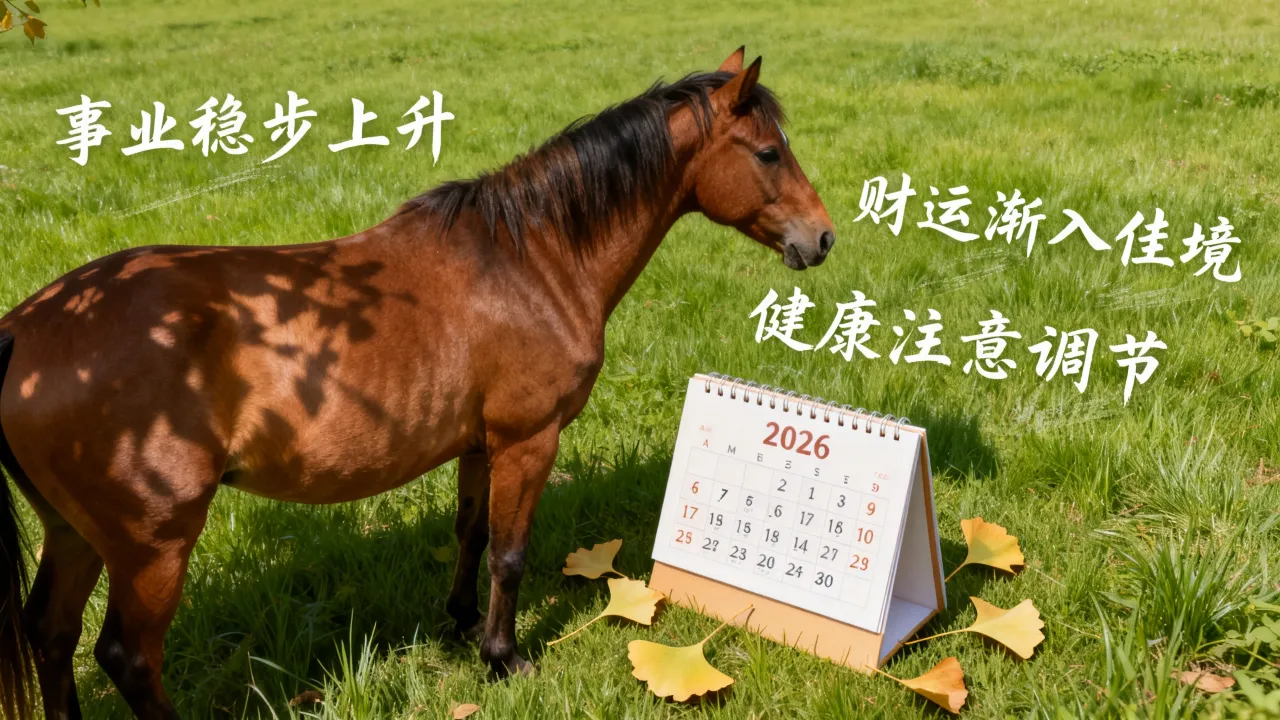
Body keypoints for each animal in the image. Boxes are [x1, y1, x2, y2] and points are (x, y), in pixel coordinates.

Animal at [0, 47, 834, 719]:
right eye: (768, 153)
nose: (822, 237)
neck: (529, 259)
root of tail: (29, 330)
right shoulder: (529, 439)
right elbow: (510, 552)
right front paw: (503, 657)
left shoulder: (478, 443)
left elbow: (471, 533)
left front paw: (461, 624)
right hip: (152, 546)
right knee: (127, 657)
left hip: (74, 533)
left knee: (51, 633)